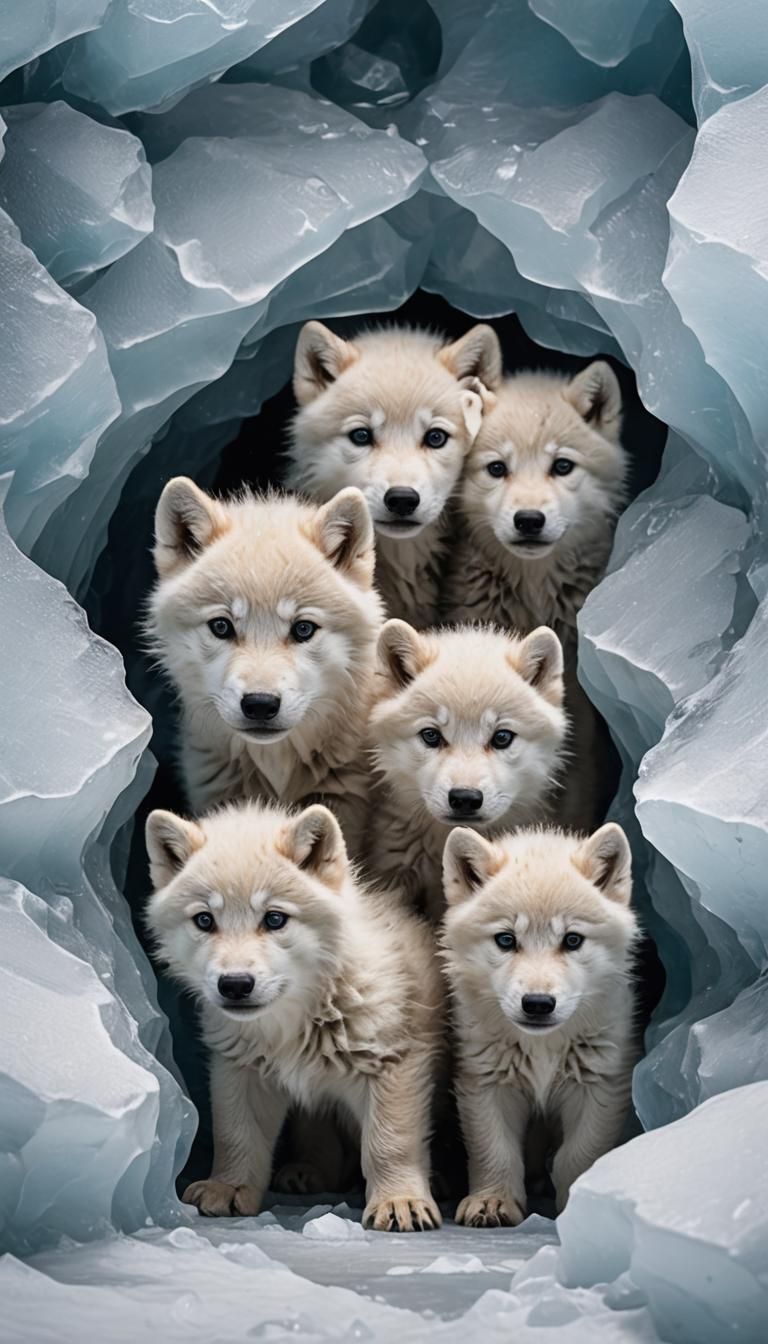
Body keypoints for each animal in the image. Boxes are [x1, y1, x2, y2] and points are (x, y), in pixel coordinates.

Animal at [145, 799, 444, 1232]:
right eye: (204, 919)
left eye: (274, 918)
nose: (235, 985)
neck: (299, 1019)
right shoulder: (238, 1067)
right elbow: (236, 1134)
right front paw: (228, 1188)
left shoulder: (395, 1063)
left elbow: (389, 1144)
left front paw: (399, 1202)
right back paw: (307, 1172)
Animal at [441, 823, 639, 1225]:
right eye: (506, 940)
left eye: (573, 940)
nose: (537, 1004)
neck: (542, 1047)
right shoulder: (486, 1083)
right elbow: (495, 1151)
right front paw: (492, 1202)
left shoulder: (600, 1085)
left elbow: (578, 1156)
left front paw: (578, 1205)